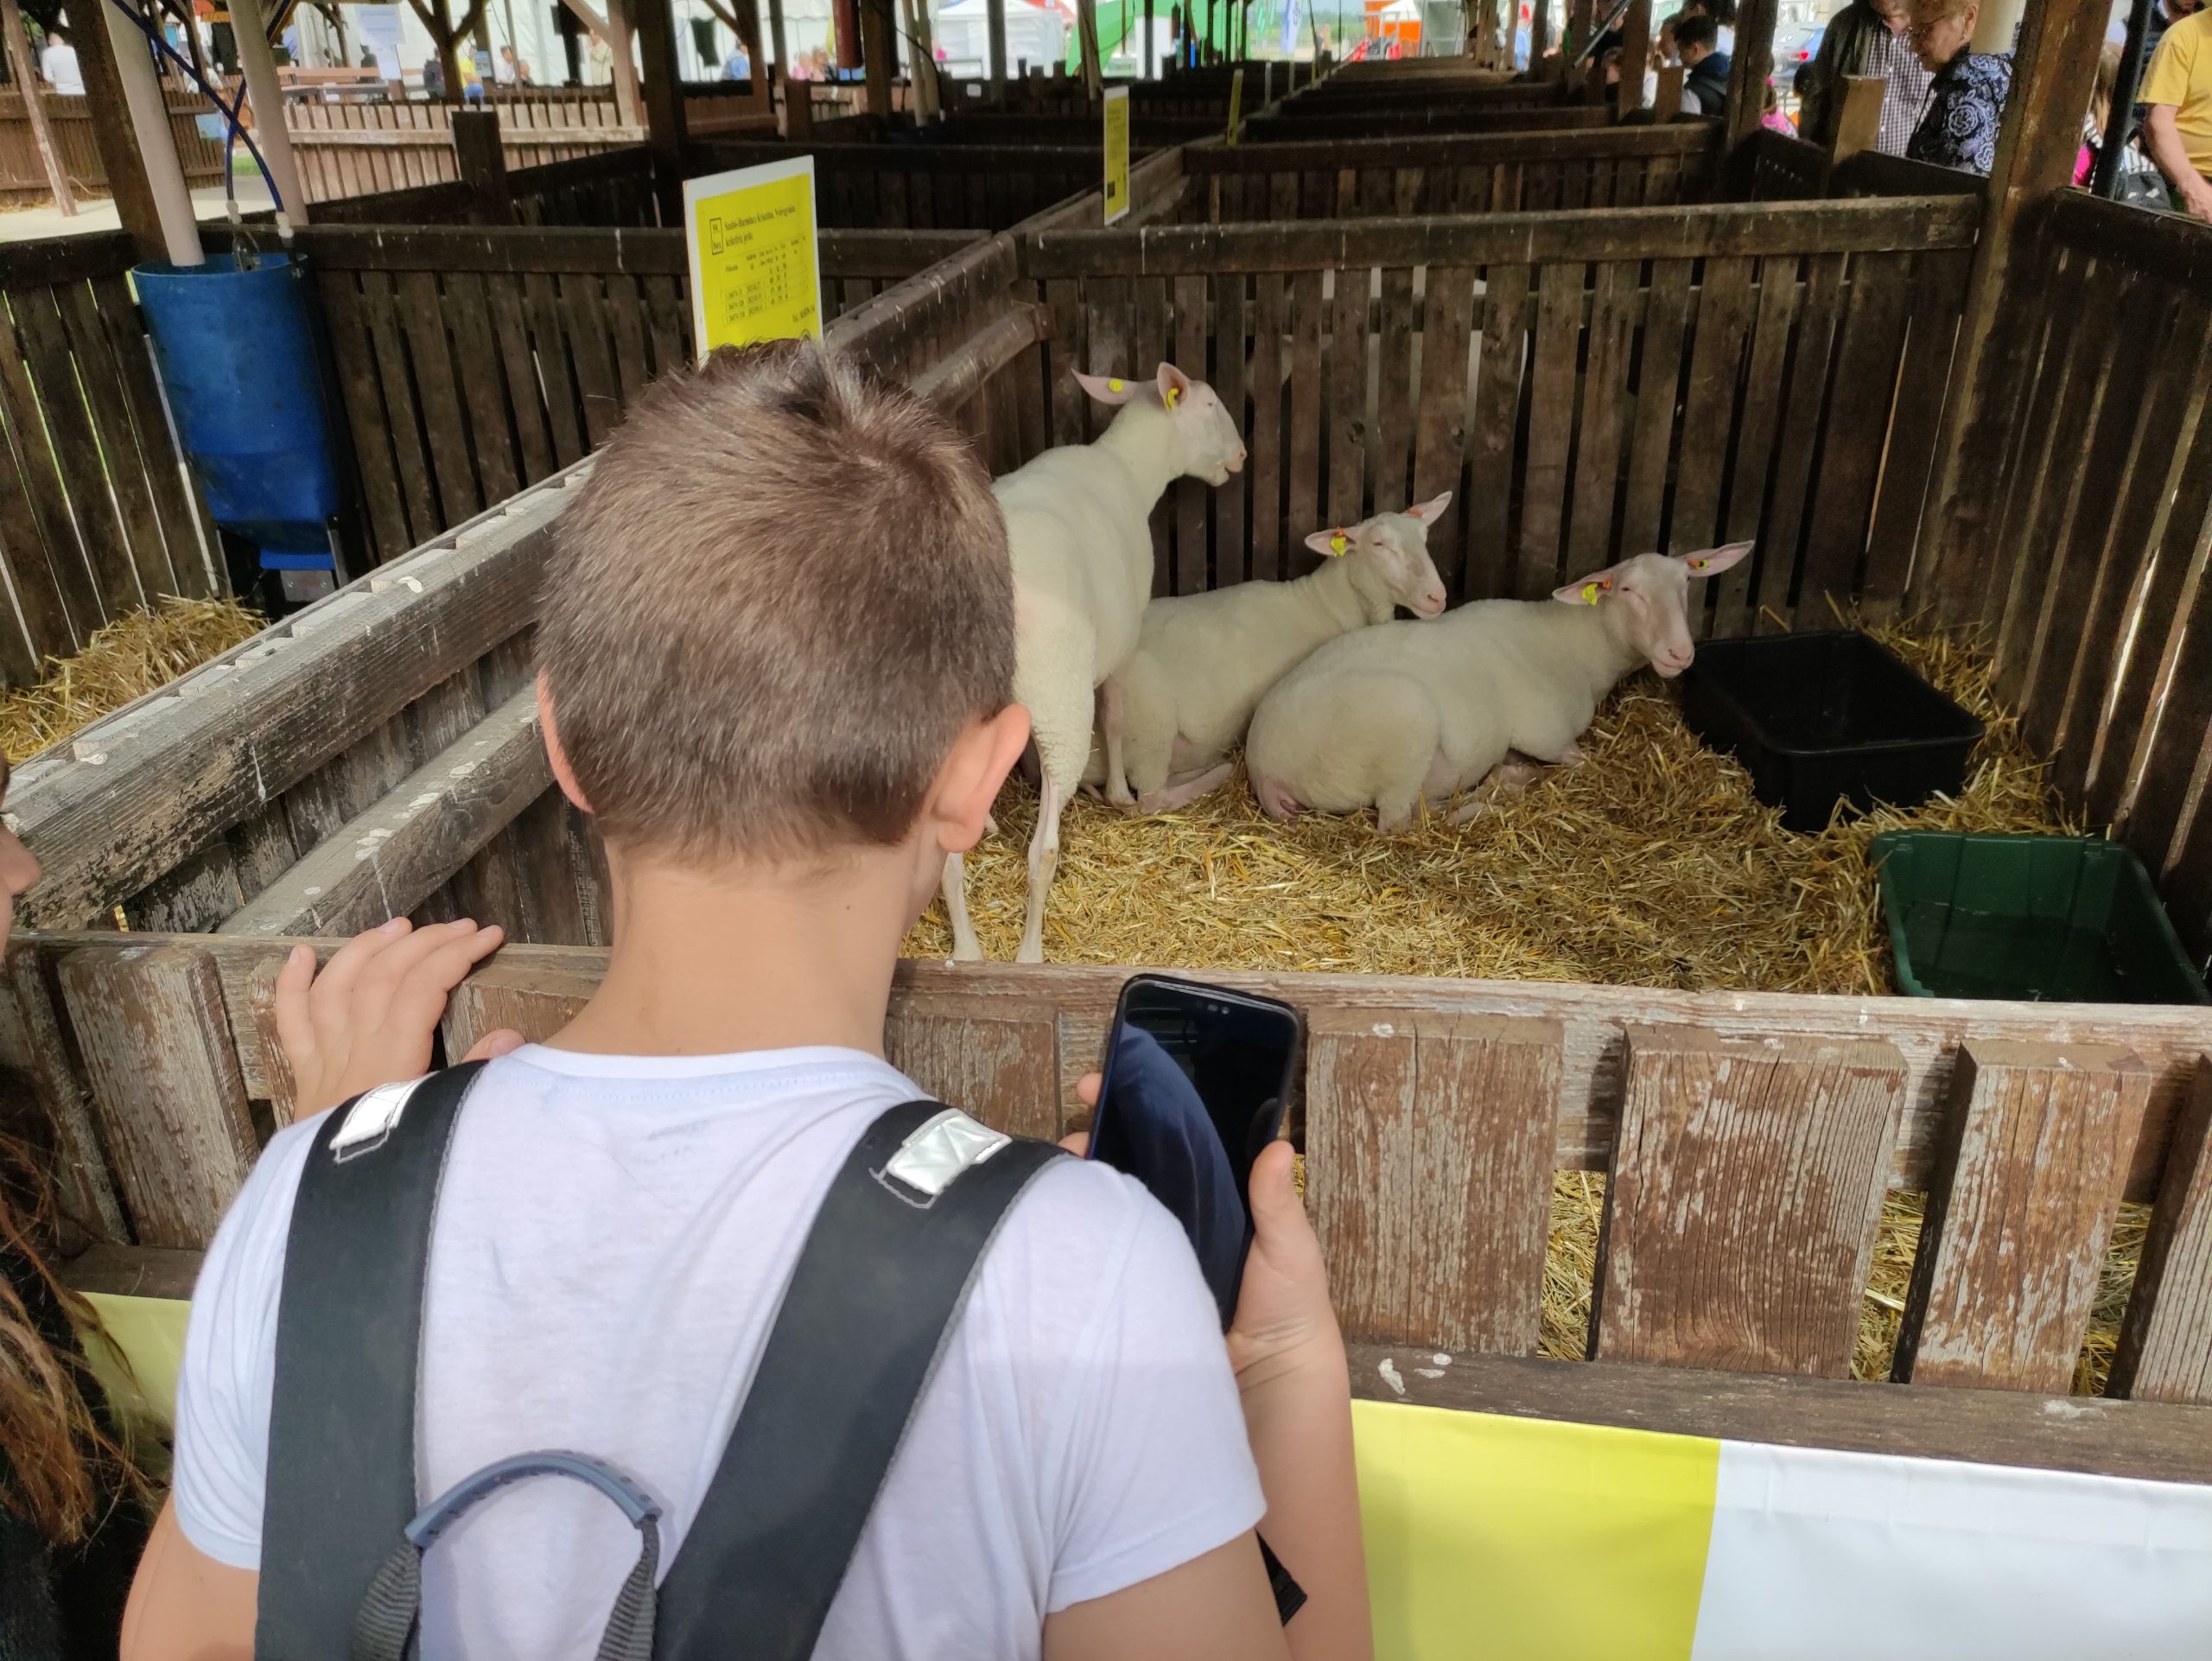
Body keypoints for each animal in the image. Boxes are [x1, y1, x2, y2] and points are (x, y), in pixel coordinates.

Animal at [933, 358, 1247, 968]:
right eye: (1210, 406)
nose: (1242, 456)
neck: (1128, 467)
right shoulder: (1120, 649)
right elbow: (1116, 720)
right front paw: (1122, 793)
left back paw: (967, 950)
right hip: (1060, 696)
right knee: (1043, 851)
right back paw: (1029, 955)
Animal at [1084, 491, 1459, 813]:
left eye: (1425, 537)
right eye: (1379, 544)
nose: (1437, 597)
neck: (1324, 604)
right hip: (1149, 718)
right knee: (1152, 800)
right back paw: (1214, 774)